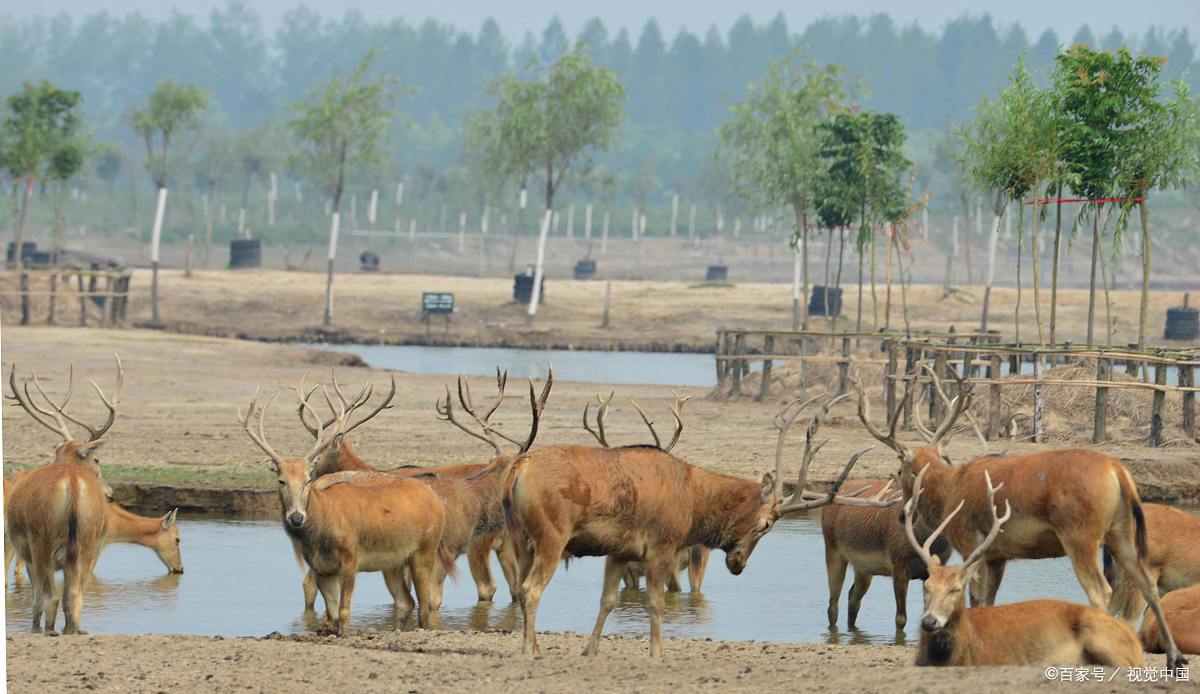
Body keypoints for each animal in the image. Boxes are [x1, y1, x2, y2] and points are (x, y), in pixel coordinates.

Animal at [4, 356, 122, 634]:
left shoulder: (26, 551)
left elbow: (37, 600)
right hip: (87, 542)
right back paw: (72, 630)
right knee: (74, 597)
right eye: (97, 460)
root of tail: (73, 481)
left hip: (41, 539)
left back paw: (47, 631)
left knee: (52, 597)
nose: (111, 494)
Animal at [239, 384, 449, 633]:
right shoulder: (321, 567)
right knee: (406, 602)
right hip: (393, 562)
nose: (296, 517)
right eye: (281, 480)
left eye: (307, 479)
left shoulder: (351, 559)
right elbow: (331, 614)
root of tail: (435, 499)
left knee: (425, 606)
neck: (322, 531)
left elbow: (344, 612)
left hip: (426, 549)